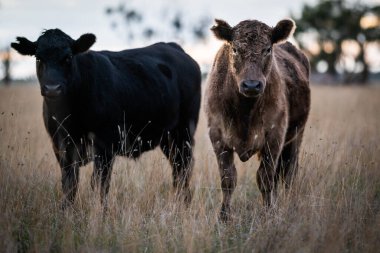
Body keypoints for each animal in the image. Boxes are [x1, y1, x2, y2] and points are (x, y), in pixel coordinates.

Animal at [11, 28, 202, 209]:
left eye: (68, 57)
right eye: (38, 58)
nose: (52, 88)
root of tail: (174, 48)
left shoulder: (104, 146)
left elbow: (100, 186)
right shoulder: (60, 146)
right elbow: (69, 185)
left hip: (183, 132)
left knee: (183, 170)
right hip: (167, 139)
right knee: (178, 171)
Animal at [206, 18, 310, 220]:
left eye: (267, 49)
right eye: (235, 49)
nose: (251, 85)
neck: (245, 111)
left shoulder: (275, 137)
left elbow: (265, 178)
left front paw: (269, 212)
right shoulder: (217, 137)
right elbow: (228, 179)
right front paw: (223, 217)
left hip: (296, 135)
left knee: (289, 172)